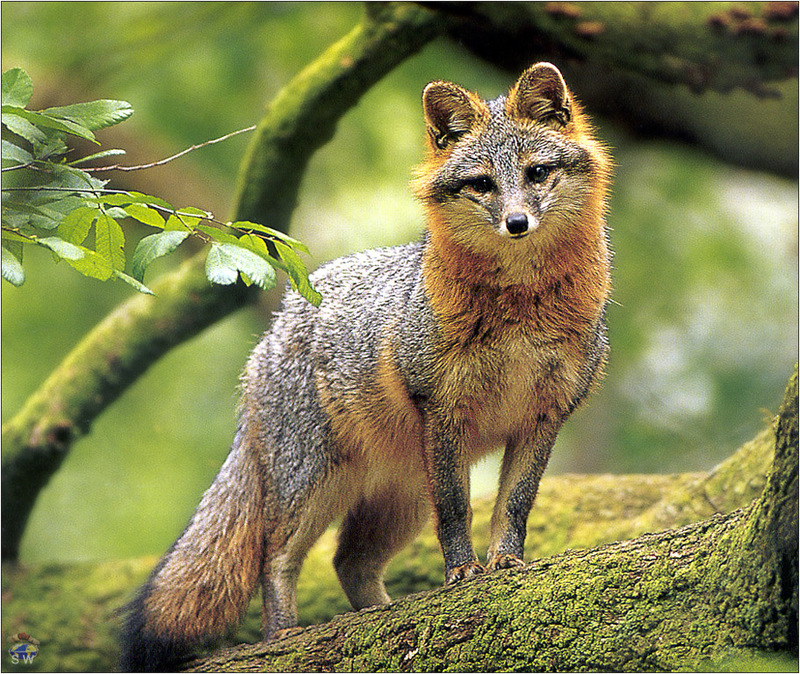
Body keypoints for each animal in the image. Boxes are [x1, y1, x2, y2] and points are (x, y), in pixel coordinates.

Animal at [119, 61, 608, 668]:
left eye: (537, 173)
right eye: (481, 185)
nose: (516, 222)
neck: (520, 308)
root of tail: (268, 336)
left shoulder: (545, 416)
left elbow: (513, 508)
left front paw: (506, 564)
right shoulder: (442, 411)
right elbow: (458, 513)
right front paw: (462, 573)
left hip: (400, 501)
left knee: (347, 563)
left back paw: (378, 617)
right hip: (317, 484)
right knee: (276, 557)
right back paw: (284, 636)